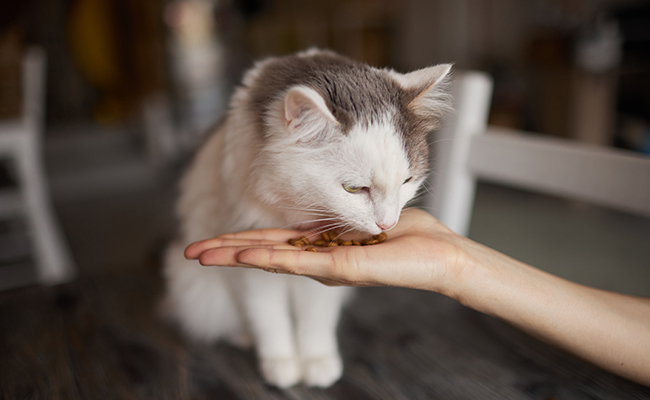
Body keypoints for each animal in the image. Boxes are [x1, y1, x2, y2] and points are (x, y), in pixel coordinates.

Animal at [163, 47, 450, 388]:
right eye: (354, 188)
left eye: (407, 181)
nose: (388, 223)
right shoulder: (249, 269)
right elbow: (268, 318)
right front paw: (281, 364)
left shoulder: (320, 283)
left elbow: (315, 320)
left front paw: (317, 362)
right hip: (195, 286)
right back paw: (243, 337)